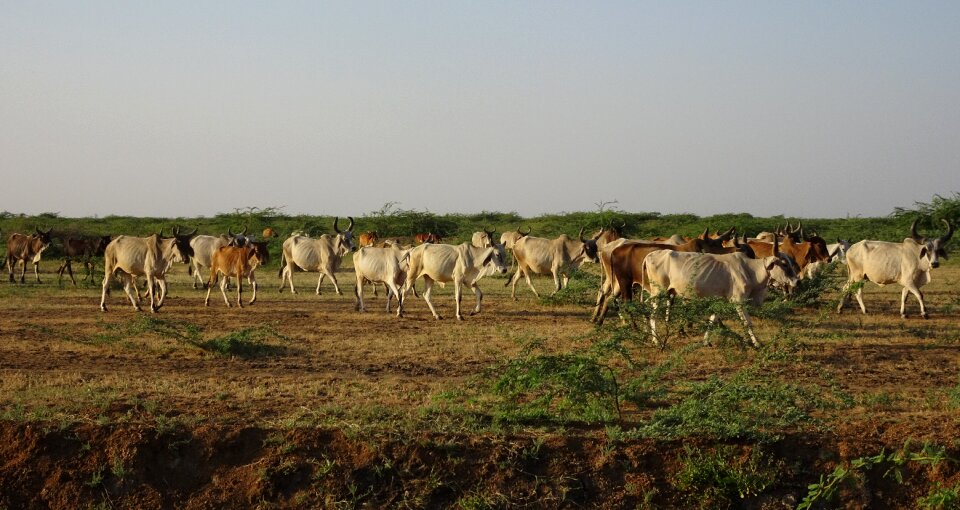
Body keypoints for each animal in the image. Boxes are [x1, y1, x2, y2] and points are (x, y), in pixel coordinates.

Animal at [640, 245, 800, 348]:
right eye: (784, 264)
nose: (796, 281)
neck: (749, 270)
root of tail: (650, 255)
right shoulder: (738, 301)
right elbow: (747, 322)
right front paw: (757, 343)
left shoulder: (721, 300)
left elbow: (712, 319)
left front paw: (706, 342)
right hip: (658, 292)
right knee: (653, 314)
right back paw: (656, 341)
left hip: (665, 293)